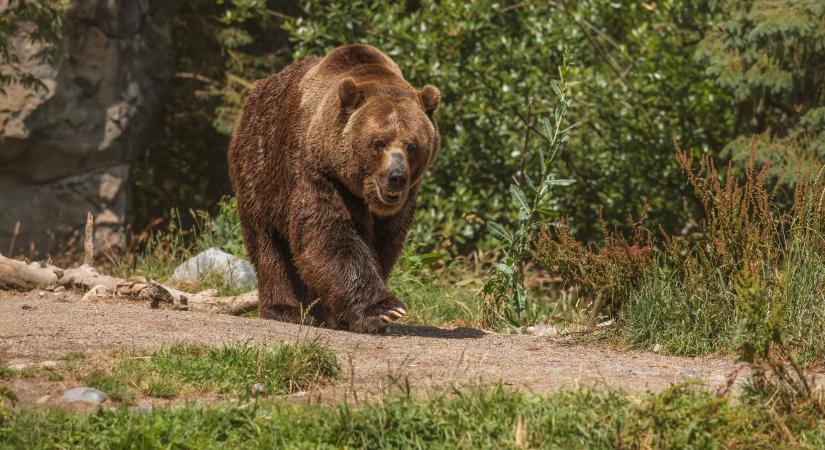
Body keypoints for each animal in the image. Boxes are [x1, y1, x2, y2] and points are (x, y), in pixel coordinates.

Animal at [229, 44, 438, 334]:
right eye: (379, 142)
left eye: (412, 145)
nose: (396, 177)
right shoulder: (319, 172)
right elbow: (328, 234)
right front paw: (383, 310)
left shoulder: (400, 204)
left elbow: (384, 244)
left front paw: (348, 315)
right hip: (259, 169)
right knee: (268, 242)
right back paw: (284, 308)